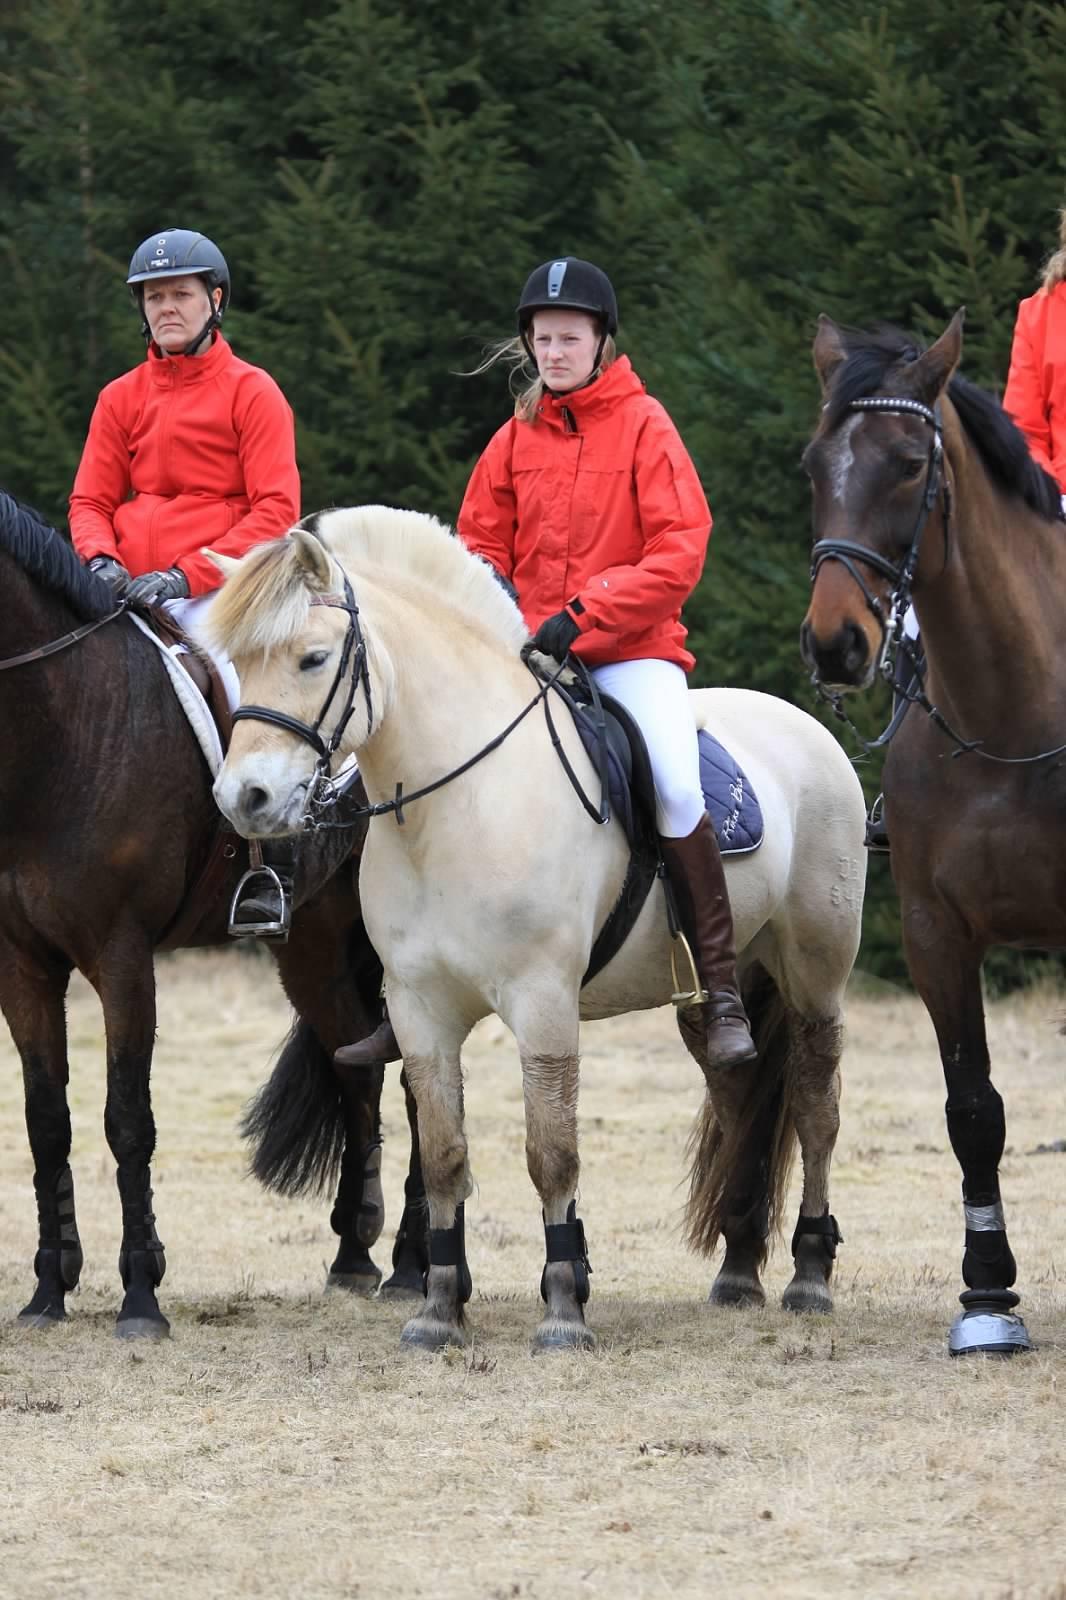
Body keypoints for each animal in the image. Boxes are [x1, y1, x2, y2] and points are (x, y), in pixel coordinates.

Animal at [0, 489, 422, 1337]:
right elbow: (45, 1119)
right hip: (313, 946)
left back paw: (414, 1266)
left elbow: (127, 1118)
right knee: (355, 1064)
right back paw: (355, 1255)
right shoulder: (21, 963)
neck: (64, 730)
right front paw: (48, 1290)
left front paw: (140, 1294)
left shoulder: (122, 956)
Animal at [204, 505, 864, 1356]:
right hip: (715, 985)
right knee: (741, 1093)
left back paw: (809, 1275)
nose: (243, 799)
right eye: (239, 662)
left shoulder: (543, 1002)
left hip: (816, 973)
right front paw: (438, 1310)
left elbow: (551, 1154)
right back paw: (740, 1270)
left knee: (816, 1108)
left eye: (312, 658)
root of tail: (804, 726)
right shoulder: (419, 1011)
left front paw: (562, 1310)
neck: (458, 802)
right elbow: (445, 1156)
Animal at [797, 315, 1062, 1363]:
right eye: (813, 464)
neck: (1010, 715)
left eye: (911, 465)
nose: (835, 642)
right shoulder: (934, 934)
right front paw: (988, 1295)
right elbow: (973, 1109)